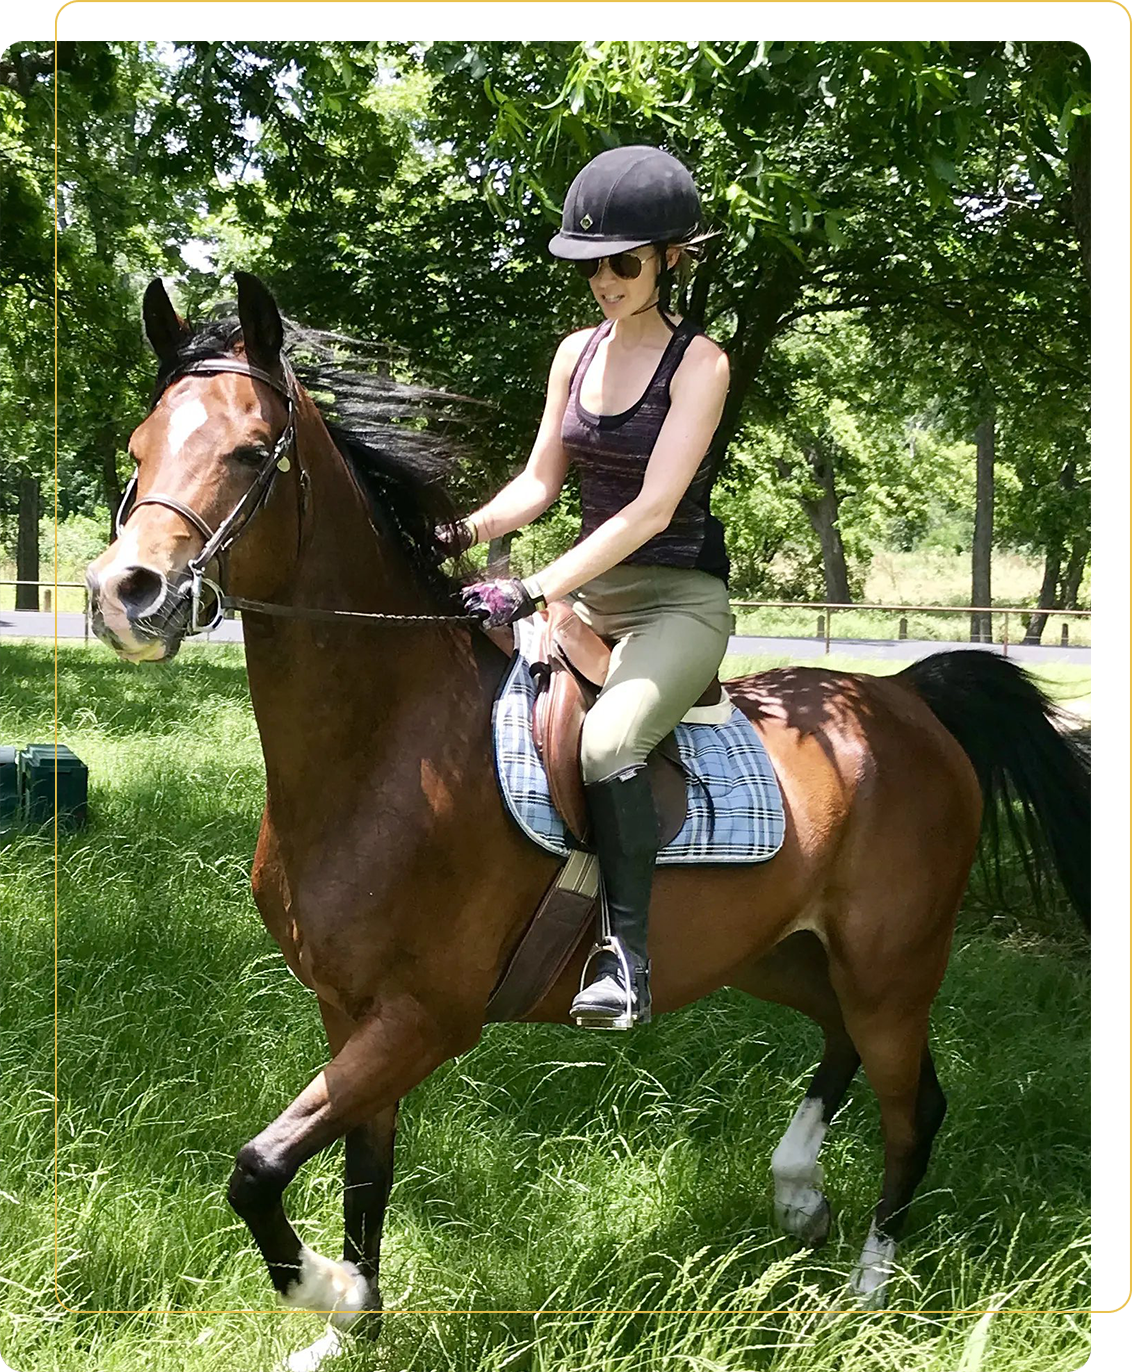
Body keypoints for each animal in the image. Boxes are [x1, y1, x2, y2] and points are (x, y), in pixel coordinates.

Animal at [86, 270, 1075, 1361]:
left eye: (251, 449)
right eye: (137, 447)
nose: (124, 592)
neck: (387, 747)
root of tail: (904, 699)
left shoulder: (425, 1018)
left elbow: (259, 1165)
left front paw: (330, 1295)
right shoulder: (350, 1012)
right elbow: (362, 1173)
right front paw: (354, 1329)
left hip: (889, 966)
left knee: (913, 1107)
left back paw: (866, 1290)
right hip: (782, 955)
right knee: (843, 1043)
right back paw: (799, 1191)